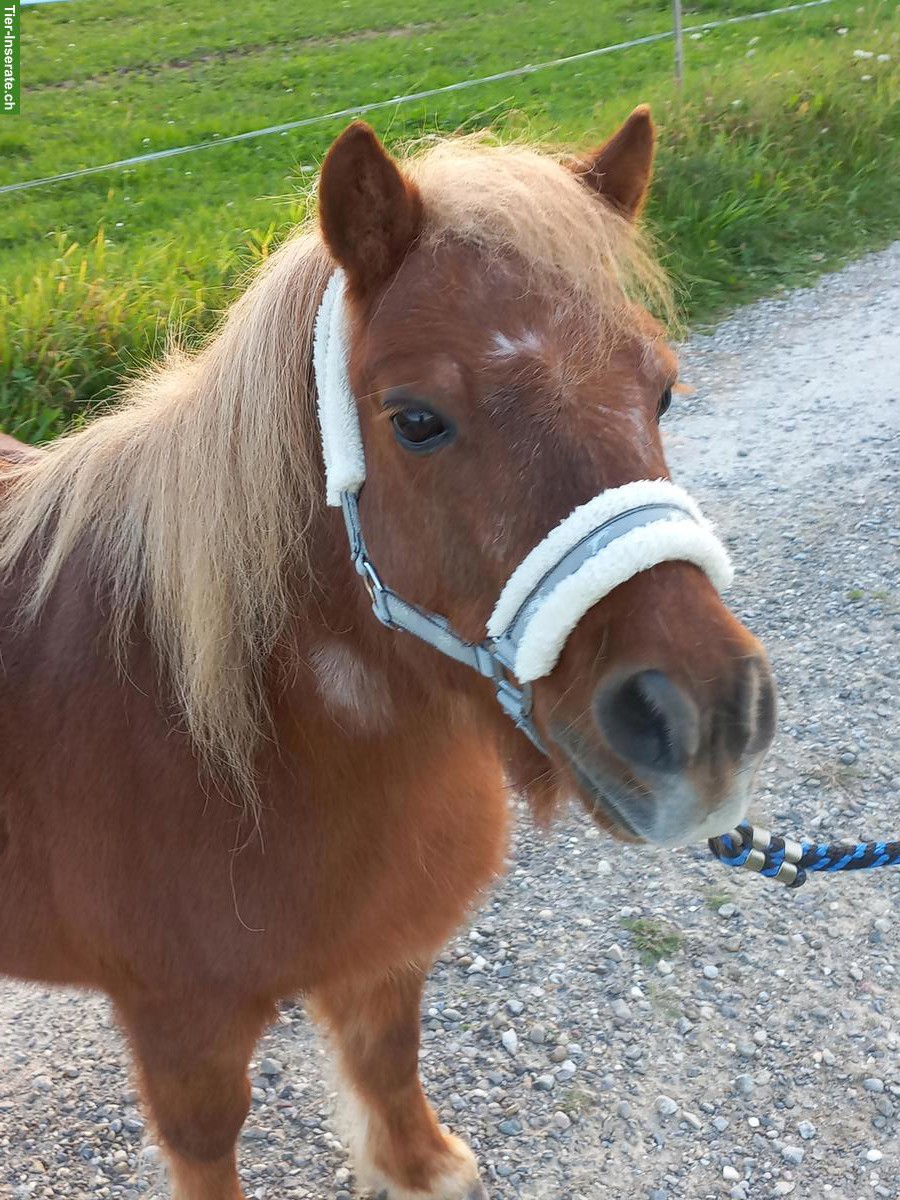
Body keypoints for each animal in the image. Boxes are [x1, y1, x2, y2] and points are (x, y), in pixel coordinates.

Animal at [0, 108, 776, 1200]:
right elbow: (210, 1138)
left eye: (661, 393)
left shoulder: (386, 957)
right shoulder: (181, 1032)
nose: (708, 722)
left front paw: (418, 1166)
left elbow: (389, 1057)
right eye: (416, 421)